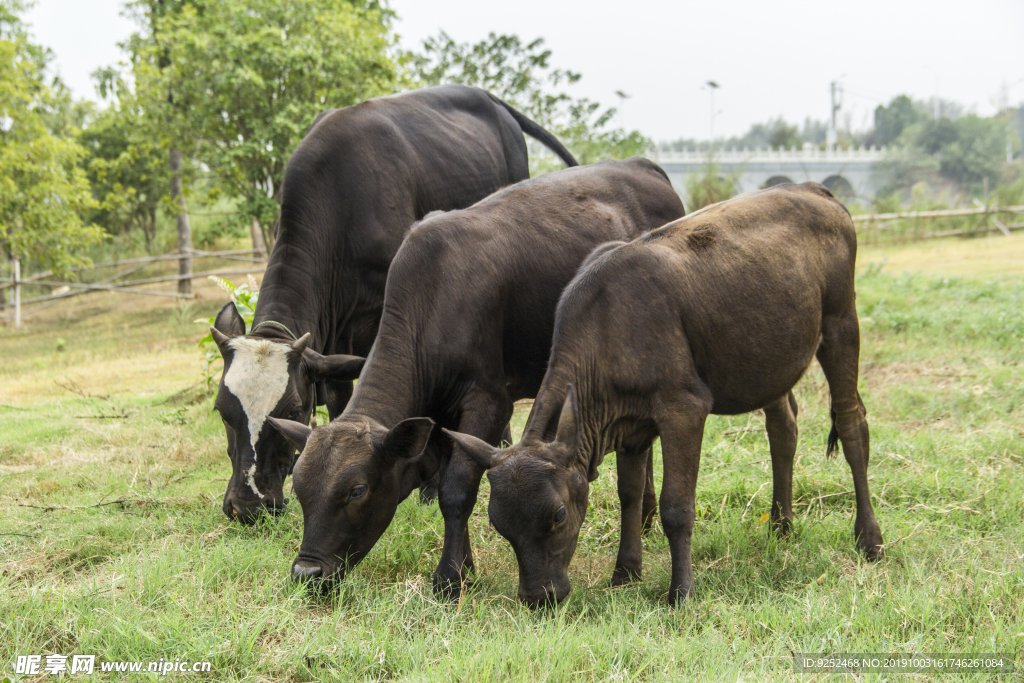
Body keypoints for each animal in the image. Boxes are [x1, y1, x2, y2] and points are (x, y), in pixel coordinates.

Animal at [208, 83, 581, 524]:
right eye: (222, 410)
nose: (248, 506)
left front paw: (429, 485)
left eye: (293, 409)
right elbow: (340, 399)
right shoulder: (334, 342)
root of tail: (490, 98)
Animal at [268, 158, 684, 598]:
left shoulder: (487, 402)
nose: (307, 572)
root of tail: (640, 165)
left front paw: (450, 577)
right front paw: (465, 565)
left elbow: (457, 490)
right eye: (299, 489)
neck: (432, 301)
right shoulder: (440, 420)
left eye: (357, 490)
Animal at [448, 183, 888, 610]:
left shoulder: (684, 408)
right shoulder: (629, 424)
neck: (608, 326)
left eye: (557, 515)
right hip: (769, 361)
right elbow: (629, 495)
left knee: (852, 424)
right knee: (783, 429)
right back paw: (781, 525)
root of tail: (813, 189)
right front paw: (625, 573)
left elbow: (676, 506)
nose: (538, 596)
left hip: (841, 324)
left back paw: (870, 539)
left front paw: (681, 591)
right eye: (498, 524)